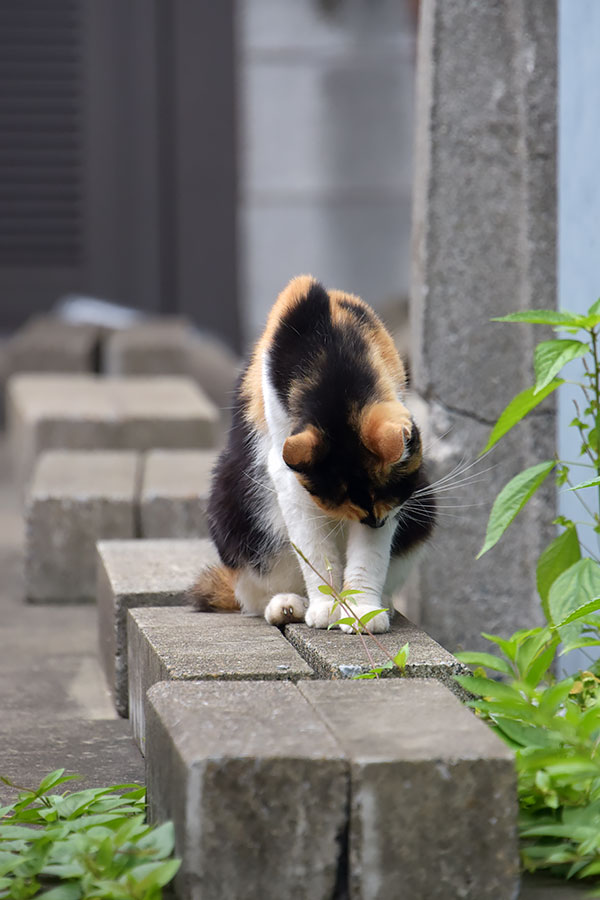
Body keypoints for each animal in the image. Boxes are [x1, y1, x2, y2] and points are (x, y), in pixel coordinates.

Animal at [192, 274, 436, 632]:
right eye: (336, 499)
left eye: (387, 492)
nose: (374, 522)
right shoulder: (288, 472)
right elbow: (314, 548)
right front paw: (327, 607)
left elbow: (369, 556)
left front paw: (363, 610)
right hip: (232, 513)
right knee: (253, 597)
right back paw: (287, 606)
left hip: (425, 506)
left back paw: (386, 605)